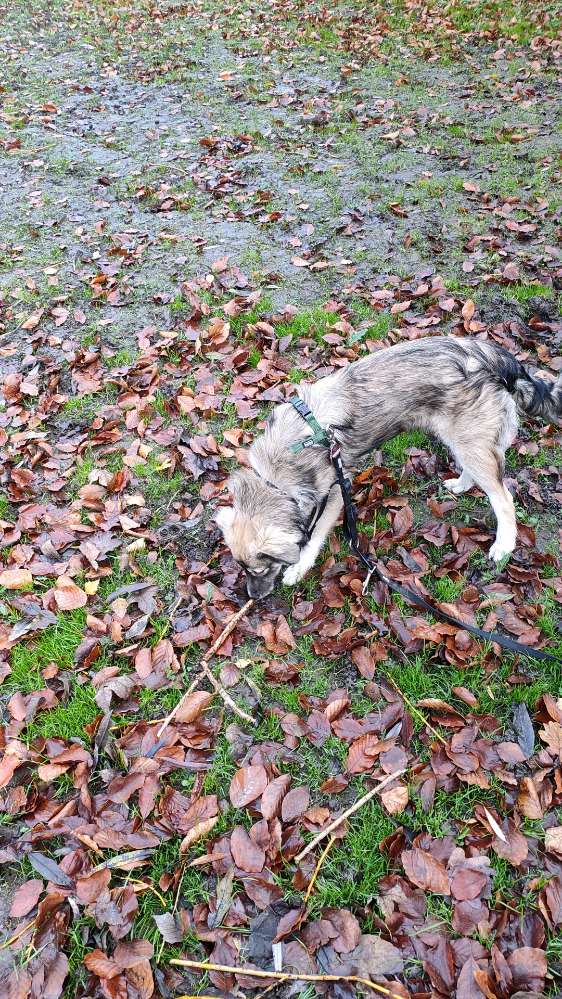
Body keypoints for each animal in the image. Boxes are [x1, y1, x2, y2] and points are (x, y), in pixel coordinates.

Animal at [213, 336, 556, 600]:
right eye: (242, 569)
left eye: (261, 568)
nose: (253, 597)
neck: (275, 476)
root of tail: (492, 357)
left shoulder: (336, 490)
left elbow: (314, 536)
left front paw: (299, 567)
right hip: (463, 438)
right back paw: (461, 484)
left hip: (469, 439)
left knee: (503, 497)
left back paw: (504, 544)